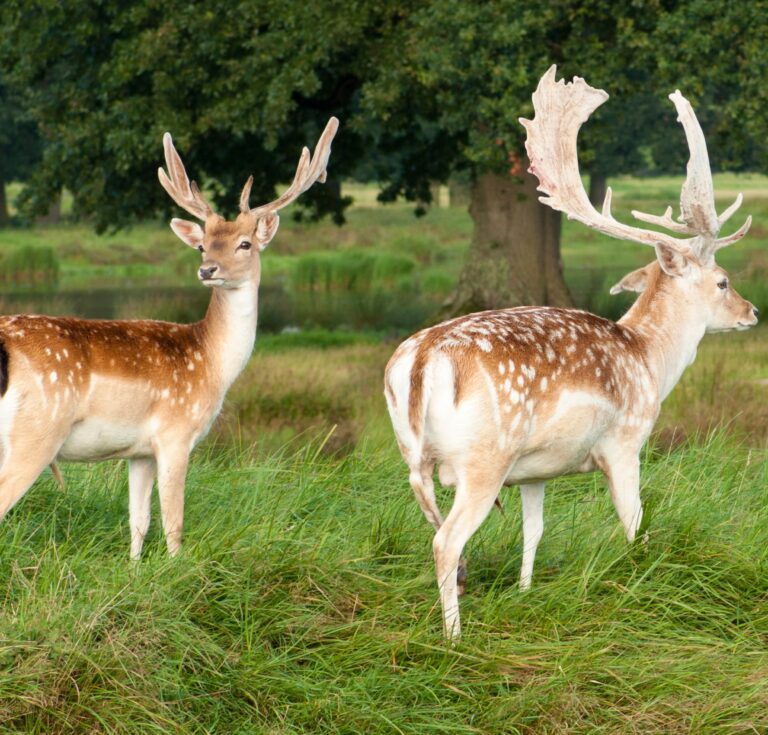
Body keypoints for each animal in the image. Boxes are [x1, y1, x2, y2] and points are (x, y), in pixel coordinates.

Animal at [0, 118, 340, 560]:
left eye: (244, 243)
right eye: (202, 245)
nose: (208, 269)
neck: (212, 363)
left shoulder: (140, 451)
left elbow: (138, 521)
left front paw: (134, 570)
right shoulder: (176, 433)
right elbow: (174, 522)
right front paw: (179, 569)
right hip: (36, 431)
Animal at [388, 70, 760, 644]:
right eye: (722, 281)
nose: (752, 311)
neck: (650, 360)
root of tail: (424, 357)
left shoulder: (535, 472)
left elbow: (534, 531)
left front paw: (524, 592)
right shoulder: (624, 442)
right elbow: (634, 522)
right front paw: (639, 584)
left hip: (415, 460)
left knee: (436, 527)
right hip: (483, 461)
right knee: (445, 542)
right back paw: (454, 637)